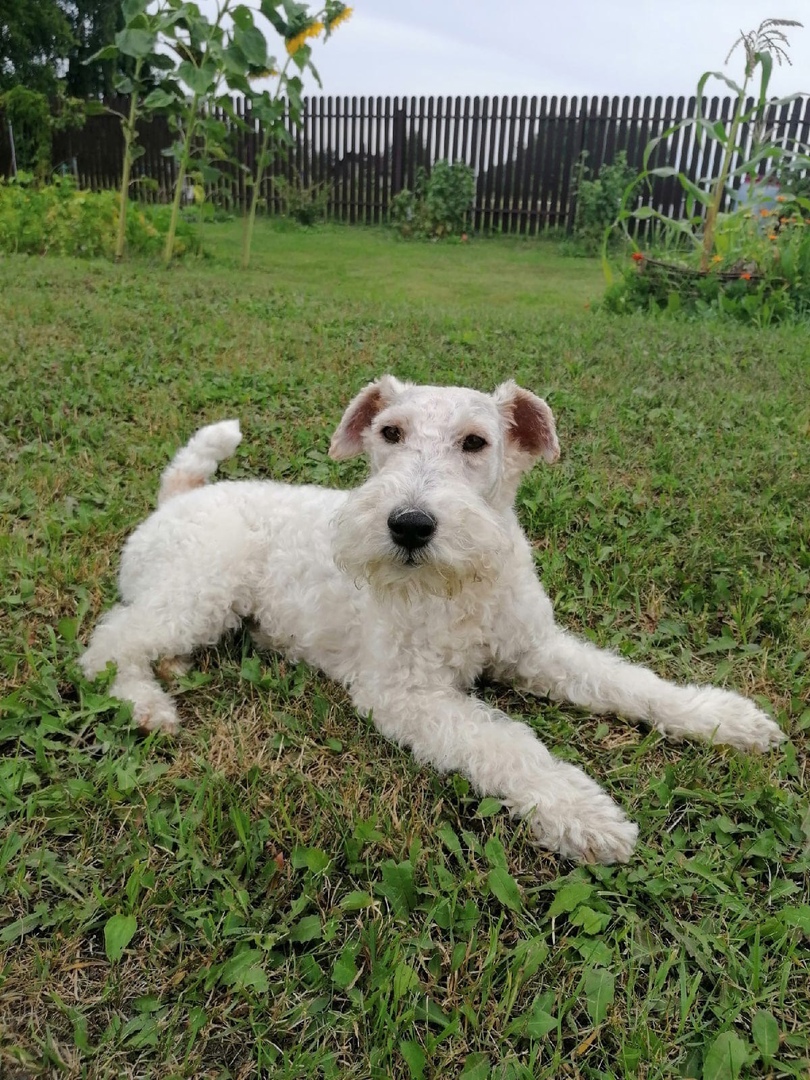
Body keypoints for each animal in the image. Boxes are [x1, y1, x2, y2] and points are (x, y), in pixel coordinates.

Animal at [81, 376, 784, 863]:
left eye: (475, 442)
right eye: (389, 432)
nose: (410, 525)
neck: (460, 584)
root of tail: (180, 495)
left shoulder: (536, 649)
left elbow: (630, 683)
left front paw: (726, 719)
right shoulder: (406, 693)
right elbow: (509, 745)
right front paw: (584, 816)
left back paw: (171, 673)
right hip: (198, 589)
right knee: (106, 646)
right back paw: (148, 707)